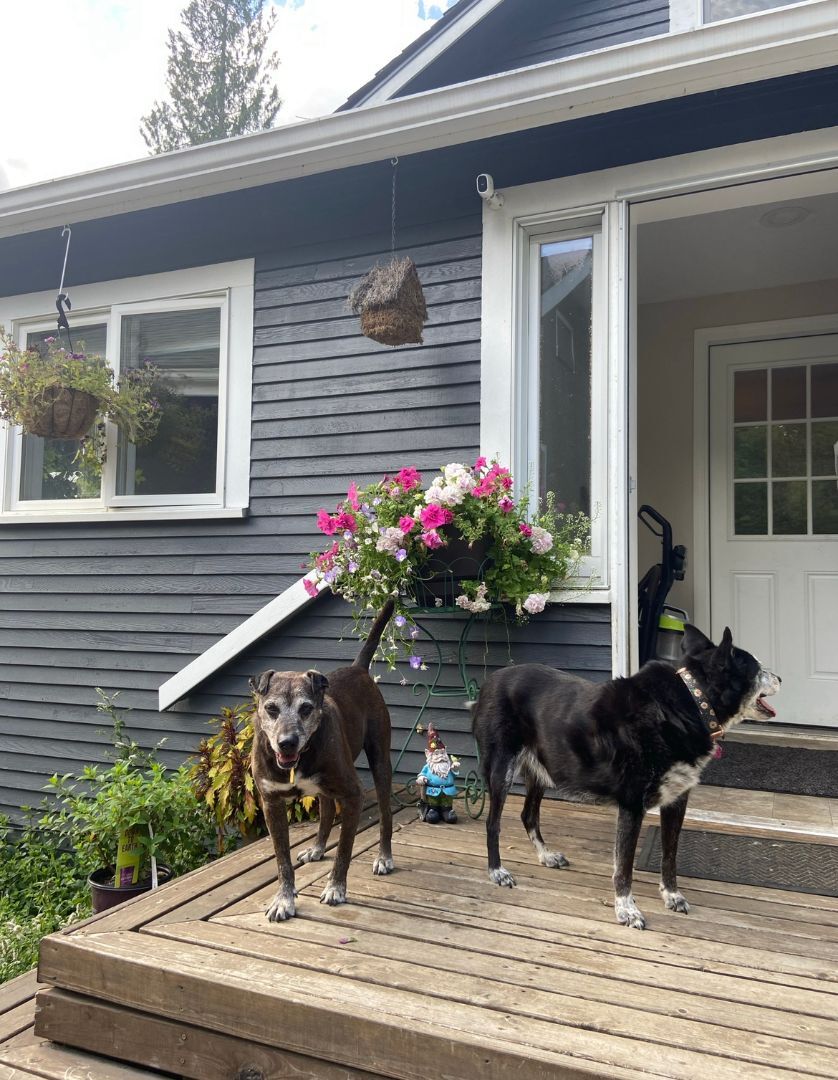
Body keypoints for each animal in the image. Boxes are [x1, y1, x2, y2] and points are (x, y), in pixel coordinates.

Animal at [250, 600, 395, 920]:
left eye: (306, 708)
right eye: (271, 708)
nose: (287, 742)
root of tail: (357, 668)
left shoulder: (353, 795)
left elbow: (344, 850)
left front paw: (335, 888)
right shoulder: (271, 803)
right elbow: (282, 861)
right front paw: (284, 898)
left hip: (380, 762)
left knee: (385, 815)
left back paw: (384, 857)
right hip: (325, 787)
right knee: (327, 809)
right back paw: (316, 848)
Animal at [470, 626, 777, 928]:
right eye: (759, 669)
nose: (781, 677)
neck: (691, 703)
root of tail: (490, 680)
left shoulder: (676, 801)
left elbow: (669, 856)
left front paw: (672, 895)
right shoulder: (631, 805)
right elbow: (625, 866)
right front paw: (627, 910)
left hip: (540, 772)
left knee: (528, 815)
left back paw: (546, 855)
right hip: (502, 768)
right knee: (493, 823)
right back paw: (497, 871)